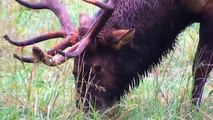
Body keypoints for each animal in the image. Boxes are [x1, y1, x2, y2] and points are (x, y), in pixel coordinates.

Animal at [2, 0, 213, 111]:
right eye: (74, 71)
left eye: (97, 68)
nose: (86, 110)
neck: (177, 7)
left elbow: (200, 68)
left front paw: (193, 110)